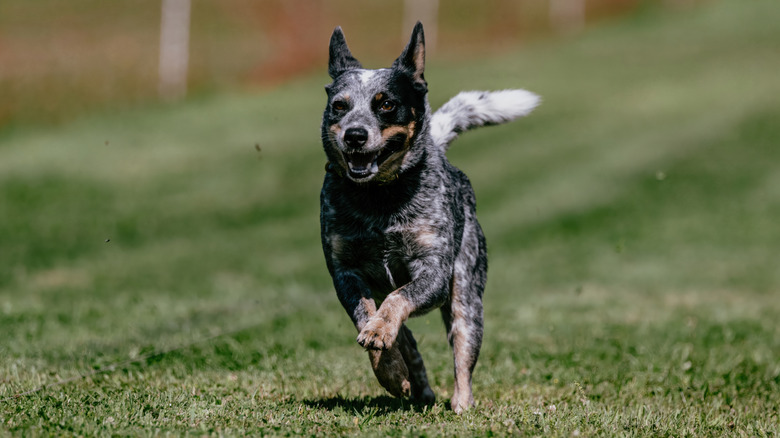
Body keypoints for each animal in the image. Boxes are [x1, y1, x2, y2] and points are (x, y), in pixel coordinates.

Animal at [320, 22, 540, 414]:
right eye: (339, 106)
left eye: (386, 104)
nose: (355, 135)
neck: (379, 201)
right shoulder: (345, 273)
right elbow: (369, 317)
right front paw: (390, 369)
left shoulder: (433, 271)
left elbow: (397, 300)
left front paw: (382, 338)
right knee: (407, 340)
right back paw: (415, 386)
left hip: (466, 297)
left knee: (462, 352)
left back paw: (461, 403)